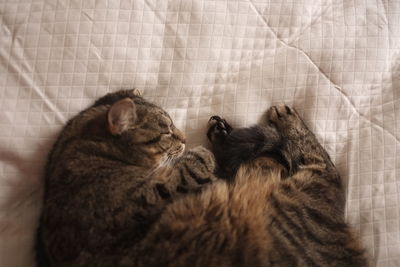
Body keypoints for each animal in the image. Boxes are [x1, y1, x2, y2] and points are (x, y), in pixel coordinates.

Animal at [39, 89, 368, 266]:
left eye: (173, 125)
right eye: (167, 131)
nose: (185, 138)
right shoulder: (137, 201)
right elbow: (188, 169)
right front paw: (202, 154)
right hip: (300, 194)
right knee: (324, 167)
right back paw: (280, 119)